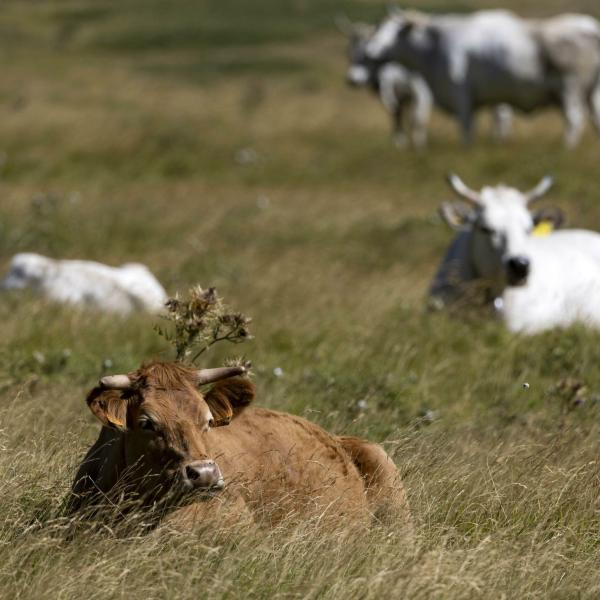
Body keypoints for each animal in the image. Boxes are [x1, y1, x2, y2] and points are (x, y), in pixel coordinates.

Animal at [364, 9, 600, 146]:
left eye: (394, 31)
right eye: (378, 28)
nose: (370, 49)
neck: (434, 50)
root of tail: (591, 33)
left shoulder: (462, 95)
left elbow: (467, 131)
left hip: (570, 89)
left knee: (573, 120)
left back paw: (565, 150)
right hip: (592, 93)